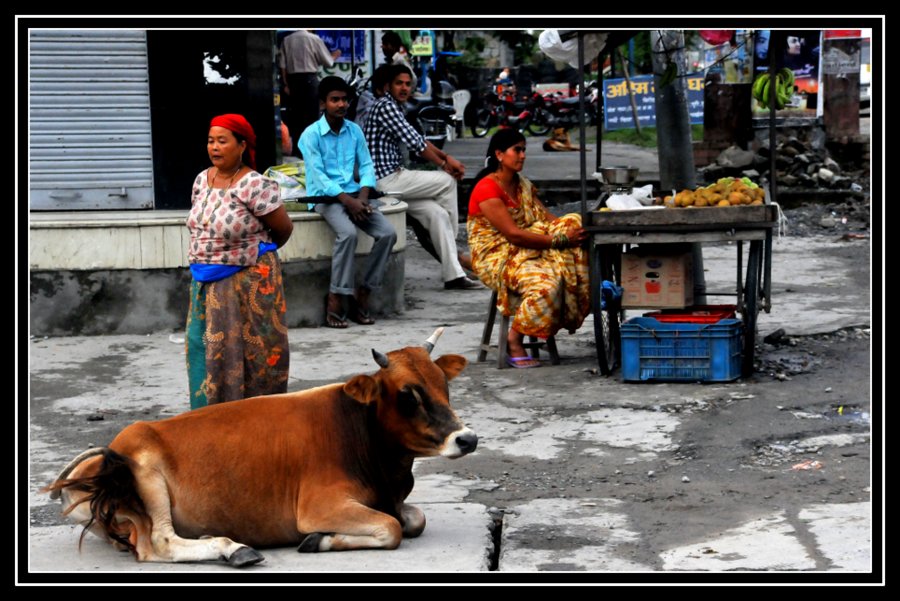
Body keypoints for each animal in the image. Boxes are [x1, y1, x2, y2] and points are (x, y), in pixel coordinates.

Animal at [44, 328, 478, 568]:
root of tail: (103, 452)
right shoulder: (318, 506)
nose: (467, 438)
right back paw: (233, 549)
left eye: (443, 384)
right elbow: (392, 527)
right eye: (407, 395)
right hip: (147, 475)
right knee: (158, 544)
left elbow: (414, 519)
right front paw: (320, 539)